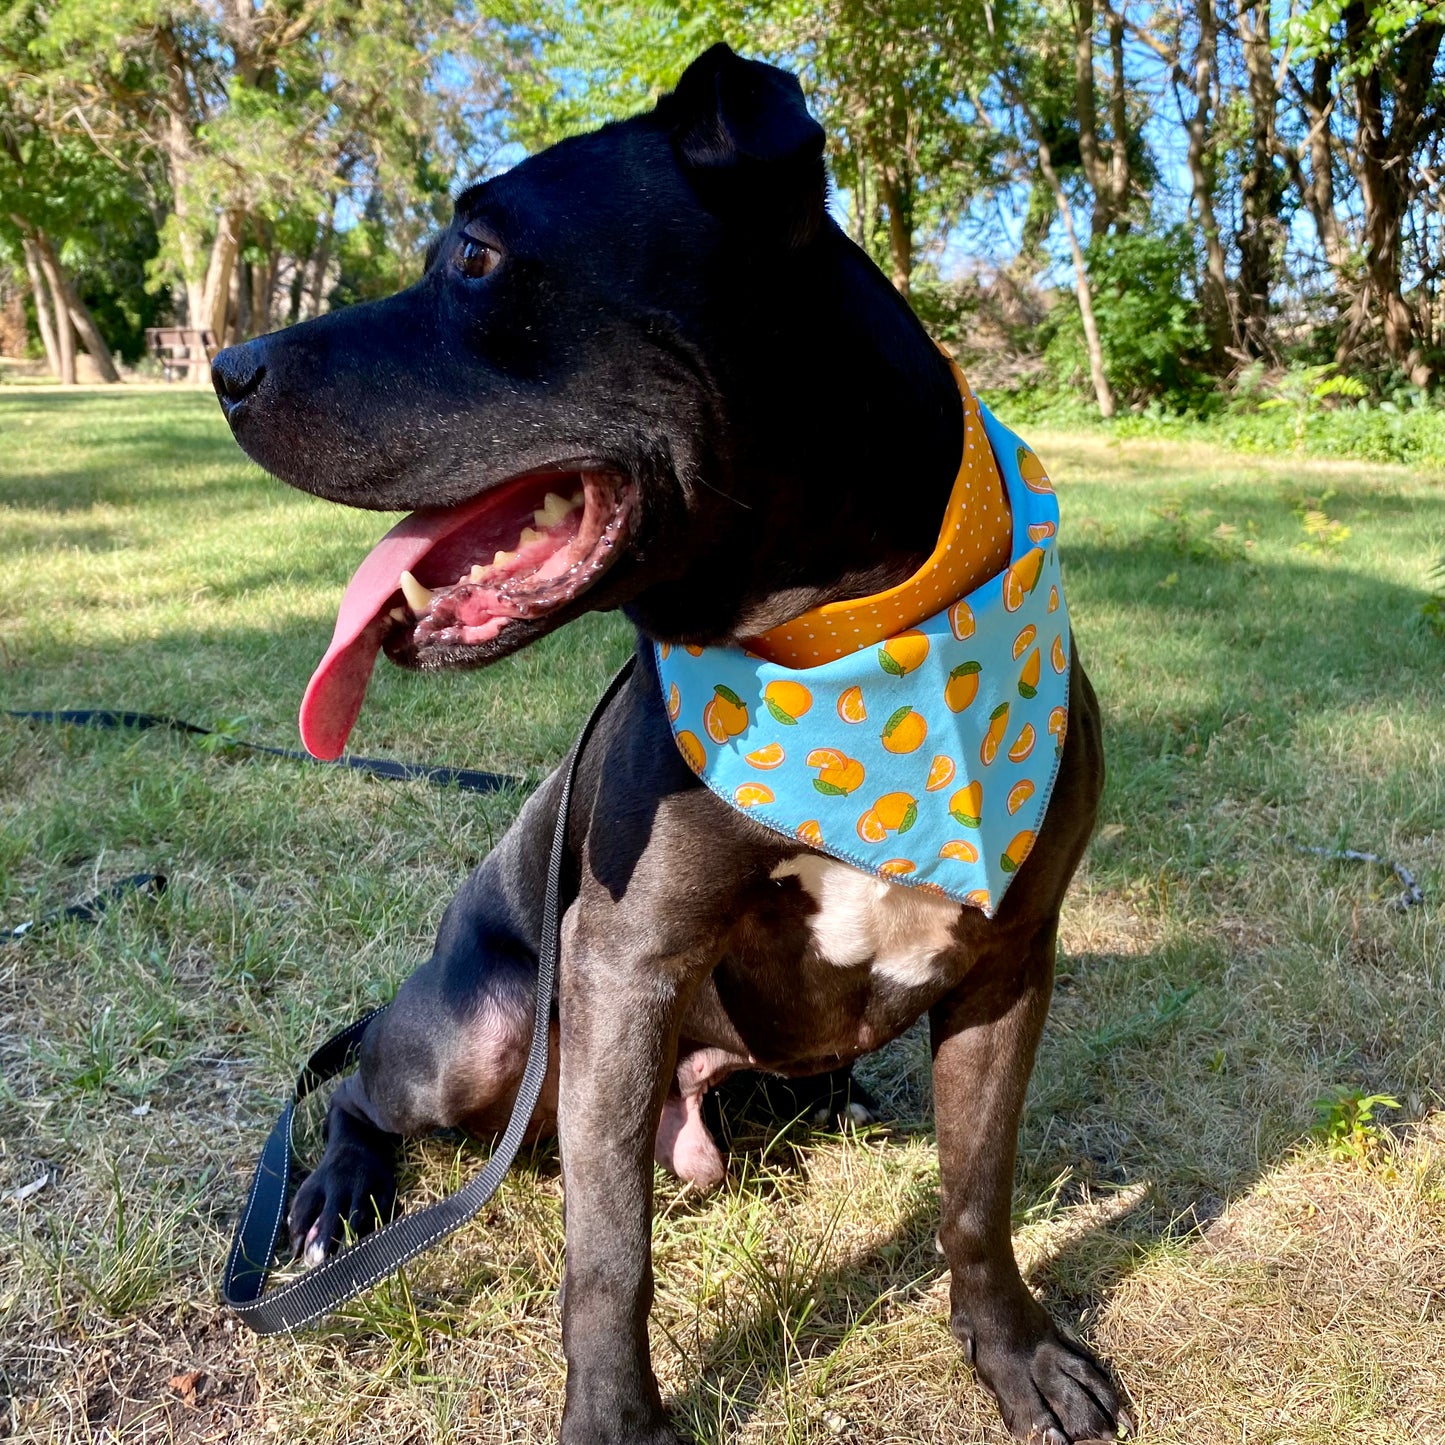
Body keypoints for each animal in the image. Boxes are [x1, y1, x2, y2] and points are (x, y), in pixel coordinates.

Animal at [213, 45, 1121, 1445]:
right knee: (361, 1084)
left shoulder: (1008, 958)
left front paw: (1014, 1351)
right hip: (479, 1034)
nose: (225, 364)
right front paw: (613, 1421)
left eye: (475, 254)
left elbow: (976, 1188)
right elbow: (608, 1252)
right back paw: (329, 1196)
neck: (840, 643)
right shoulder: (625, 962)